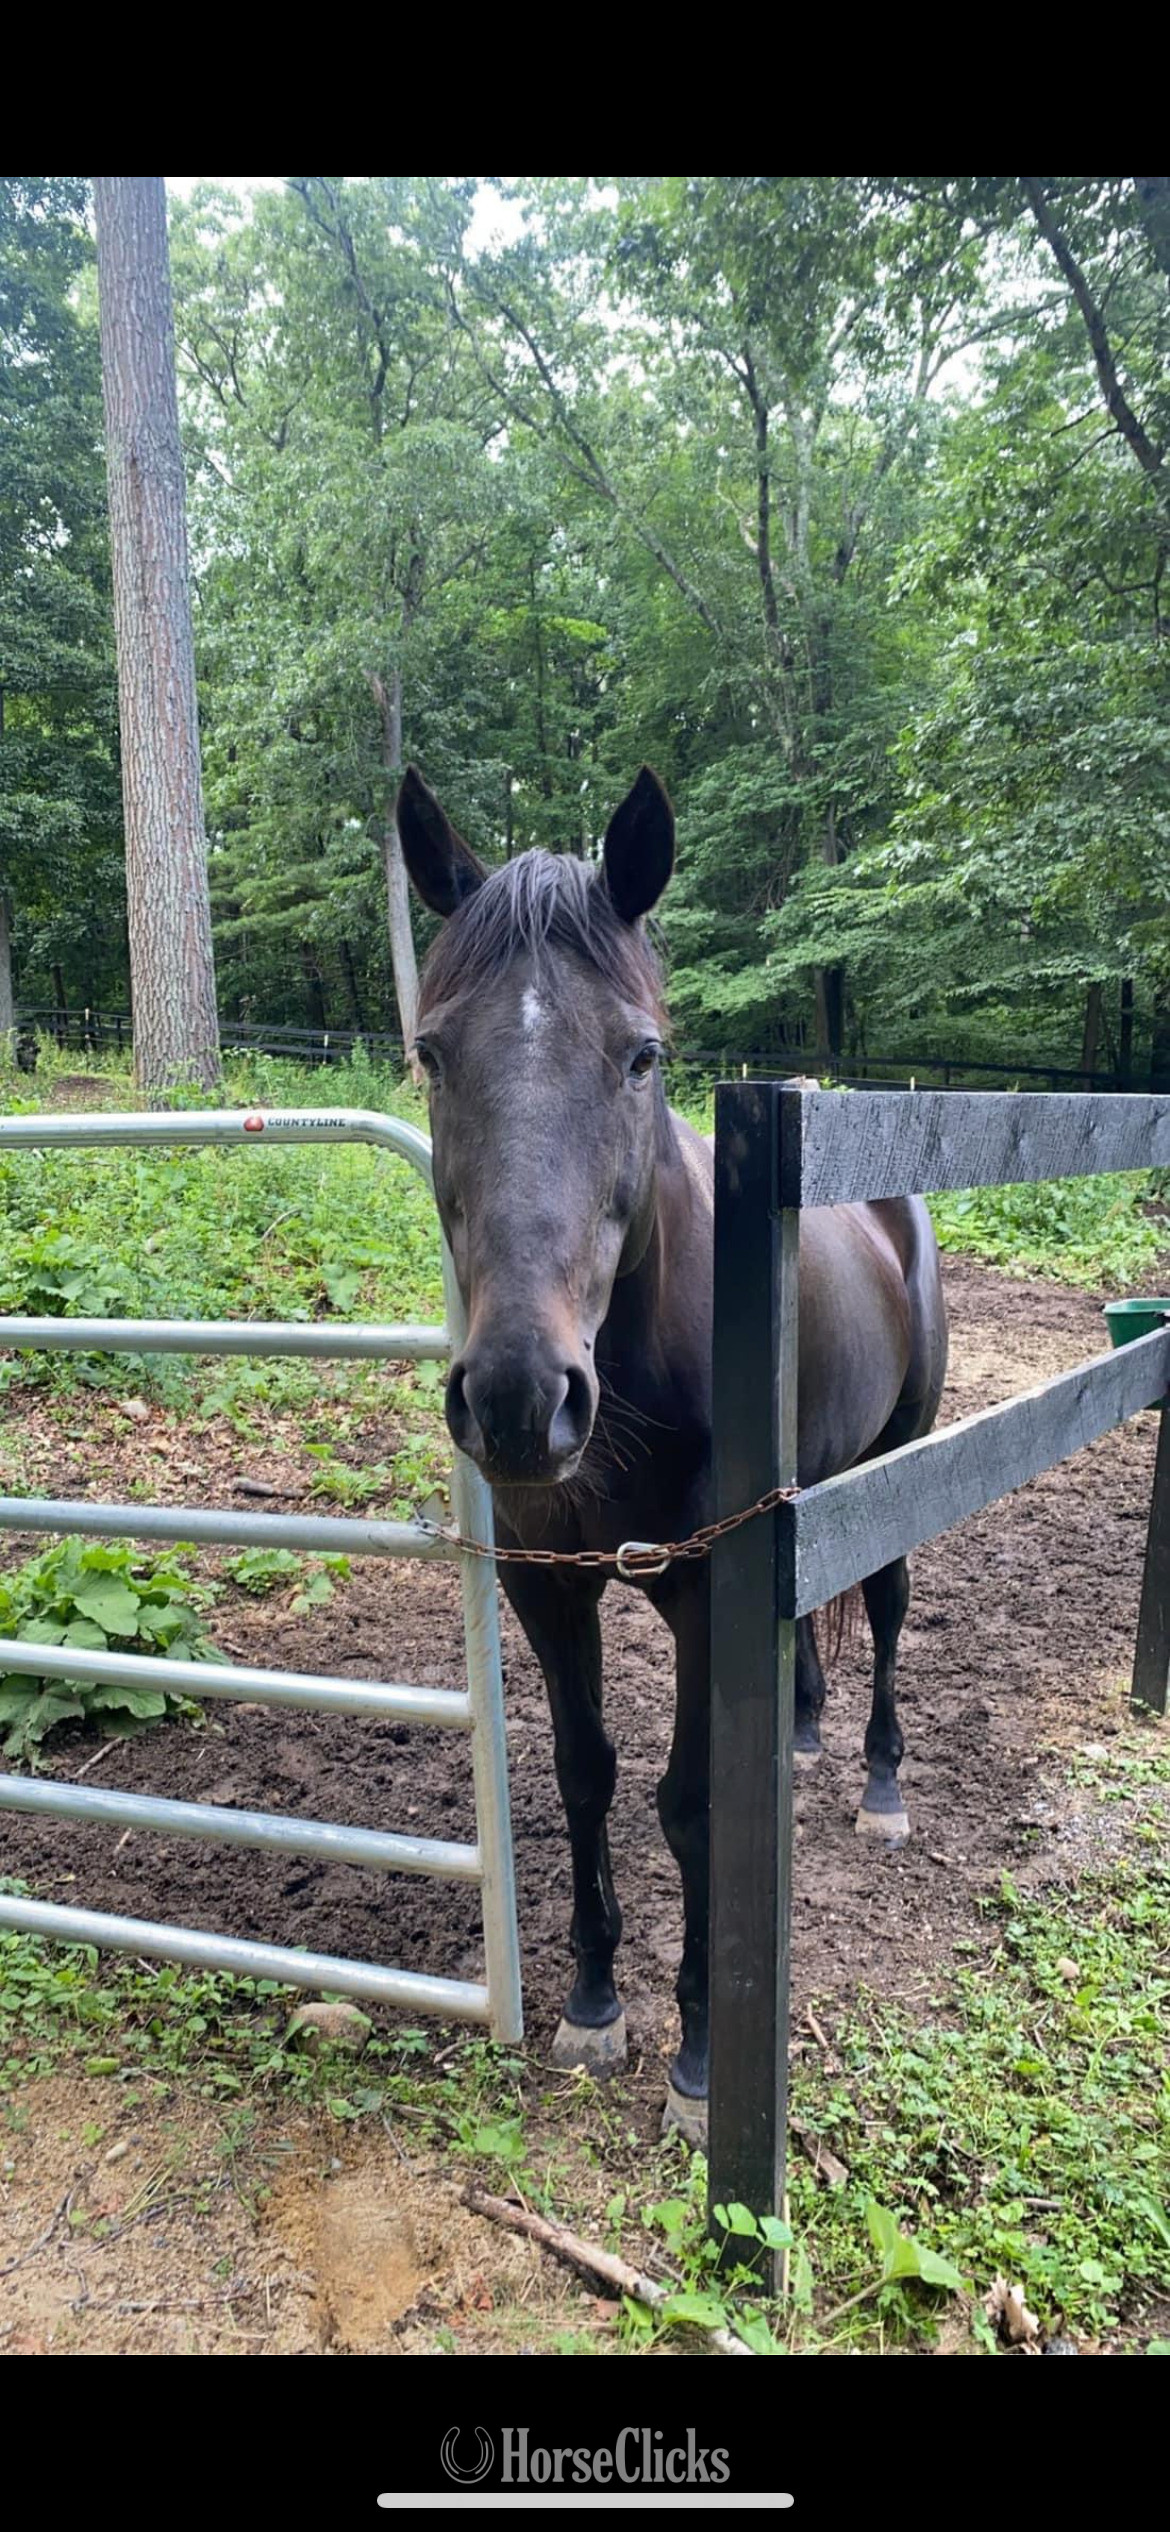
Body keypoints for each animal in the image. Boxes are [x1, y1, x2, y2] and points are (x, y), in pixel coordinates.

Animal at [397, 763, 949, 2140]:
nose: (520, 1398)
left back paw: (878, 1783)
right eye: (431, 1053)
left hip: (896, 1467)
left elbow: (692, 1805)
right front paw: (595, 1998)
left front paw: (702, 2051)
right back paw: (802, 1731)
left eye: (641, 1055)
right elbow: (586, 1774)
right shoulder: (548, 1587)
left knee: (887, 1610)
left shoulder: (701, 1586)